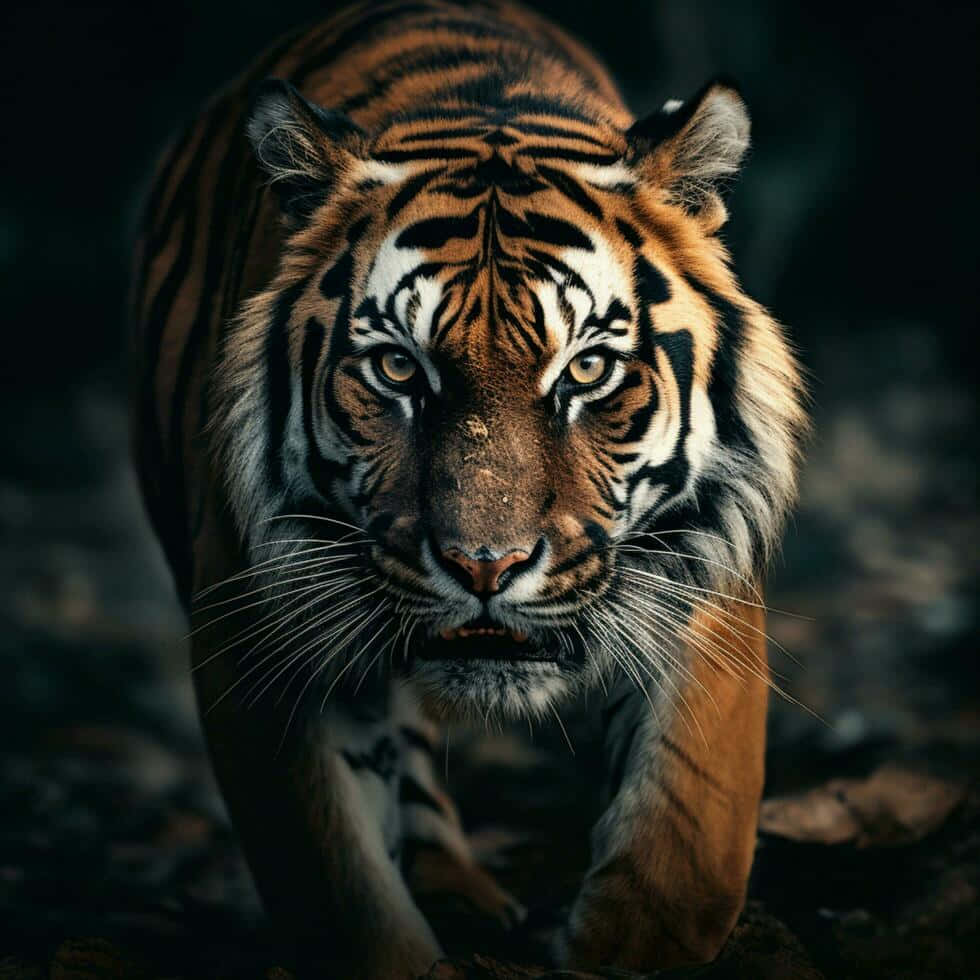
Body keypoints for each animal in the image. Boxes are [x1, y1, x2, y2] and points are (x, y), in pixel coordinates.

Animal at [130, 0, 807, 975]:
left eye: (588, 369)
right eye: (397, 369)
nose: (485, 566)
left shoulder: (705, 568)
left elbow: (685, 847)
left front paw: (617, 942)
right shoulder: (252, 620)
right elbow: (337, 886)